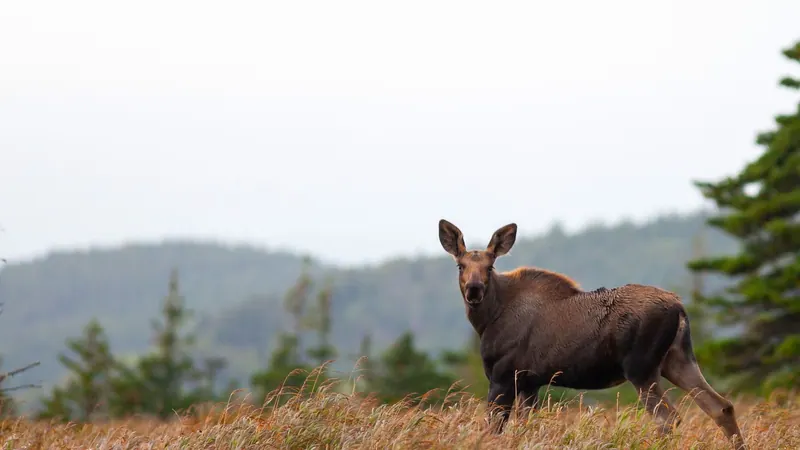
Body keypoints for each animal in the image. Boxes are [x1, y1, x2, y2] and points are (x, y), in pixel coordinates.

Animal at [437, 219, 747, 450]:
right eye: (460, 265)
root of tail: (680, 308)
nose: (474, 290)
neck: (489, 319)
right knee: (721, 407)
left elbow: (493, 430)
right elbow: (527, 430)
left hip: (641, 367)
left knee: (668, 418)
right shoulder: (529, 382)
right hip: (678, 359)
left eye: (490, 266)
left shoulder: (503, 376)